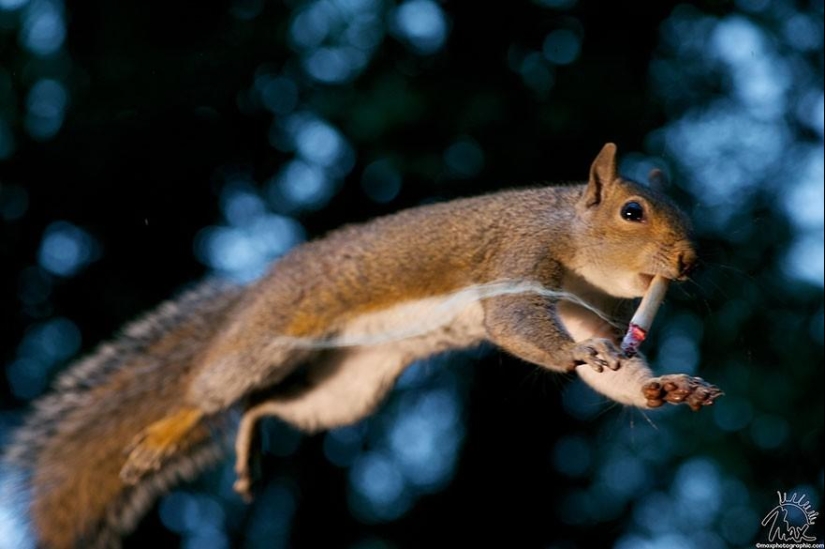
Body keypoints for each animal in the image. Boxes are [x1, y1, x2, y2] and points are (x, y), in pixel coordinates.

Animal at [3, 143, 722, 549]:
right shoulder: (518, 259)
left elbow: (613, 366)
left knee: (265, 405)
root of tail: (249, 296)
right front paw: (577, 358)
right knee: (211, 390)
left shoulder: (592, 311)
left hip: (344, 387)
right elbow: (514, 322)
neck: (571, 237)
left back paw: (246, 444)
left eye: (686, 208)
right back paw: (165, 431)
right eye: (631, 211)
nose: (689, 261)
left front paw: (663, 385)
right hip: (263, 341)